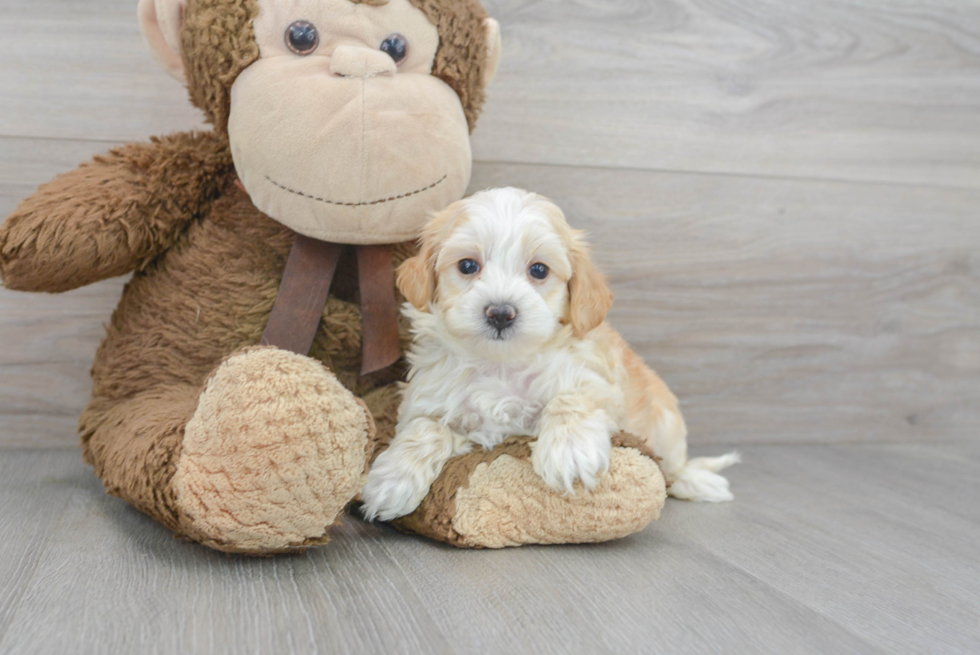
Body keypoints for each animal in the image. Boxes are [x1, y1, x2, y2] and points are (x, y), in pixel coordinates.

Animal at [360, 186, 736, 524]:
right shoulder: (427, 401)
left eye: (539, 270)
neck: (500, 364)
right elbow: (426, 428)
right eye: (467, 265)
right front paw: (392, 480)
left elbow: (570, 398)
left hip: (666, 426)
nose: (500, 313)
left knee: (674, 467)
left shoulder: (598, 383)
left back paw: (696, 482)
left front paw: (569, 451)